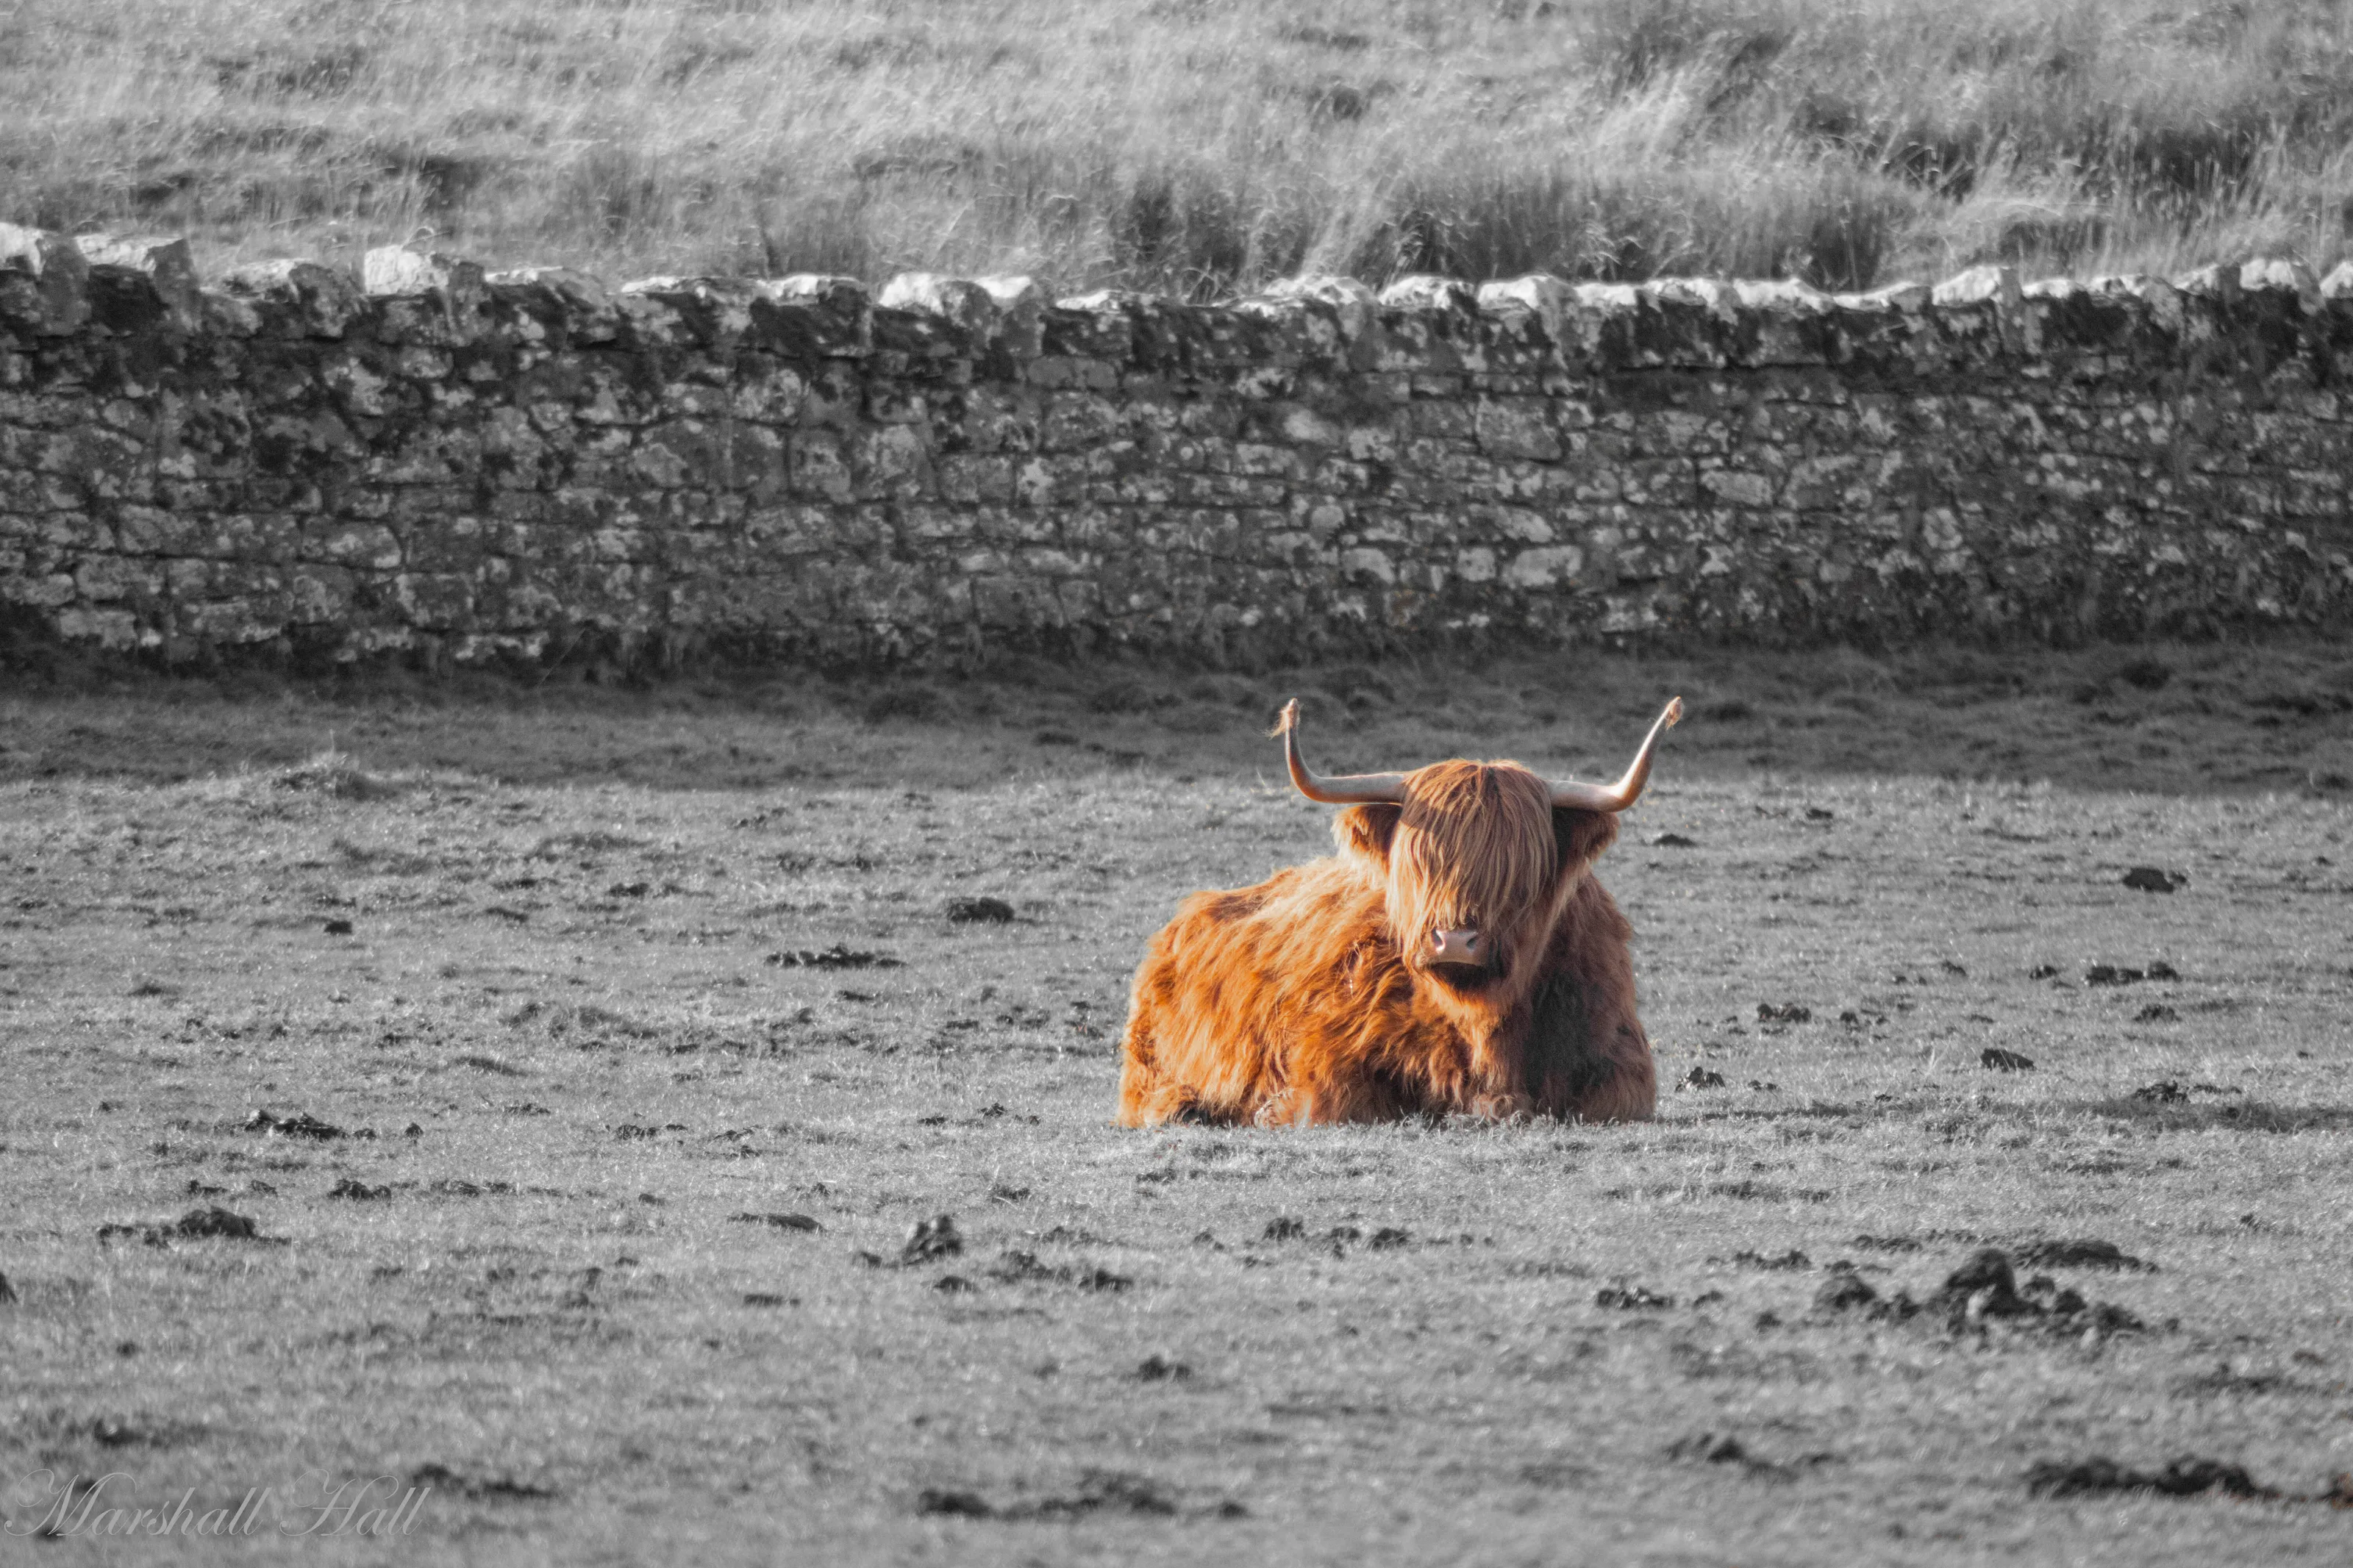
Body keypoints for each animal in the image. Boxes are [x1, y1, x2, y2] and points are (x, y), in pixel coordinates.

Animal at [1116, 695, 1682, 1126]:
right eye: (1418, 864)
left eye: (1518, 872)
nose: (1454, 940)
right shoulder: (1330, 1055)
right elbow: (1339, 1101)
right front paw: (1268, 1109)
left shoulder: (1620, 1061)